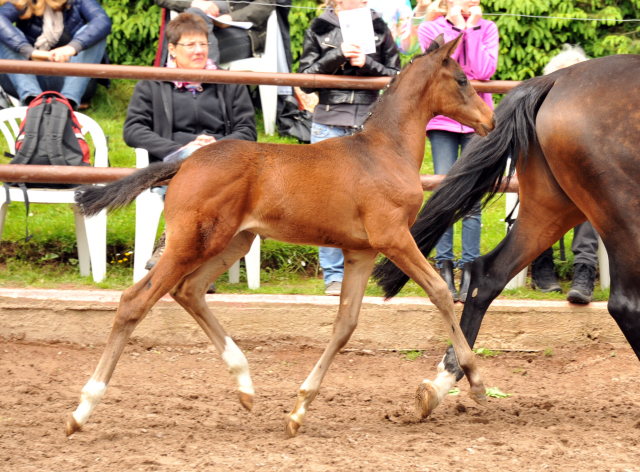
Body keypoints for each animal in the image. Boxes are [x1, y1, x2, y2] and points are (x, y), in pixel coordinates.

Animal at [66, 36, 496, 438]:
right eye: (461, 80)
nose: (489, 120)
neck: (385, 151)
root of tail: (184, 163)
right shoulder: (392, 237)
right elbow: (439, 292)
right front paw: (475, 380)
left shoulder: (359, 252)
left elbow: (345, 324)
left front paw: (298, 410)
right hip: (192, 243)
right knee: (134, 301)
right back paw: (82, 409)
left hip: (233, 242)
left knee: (189, 290)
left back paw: (245, 385)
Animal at [372, 54, 640, 416]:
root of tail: (556, 79)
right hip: (620, 211)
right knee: (626, 303)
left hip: (553, 209)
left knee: (487, 276)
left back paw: (445, 381)